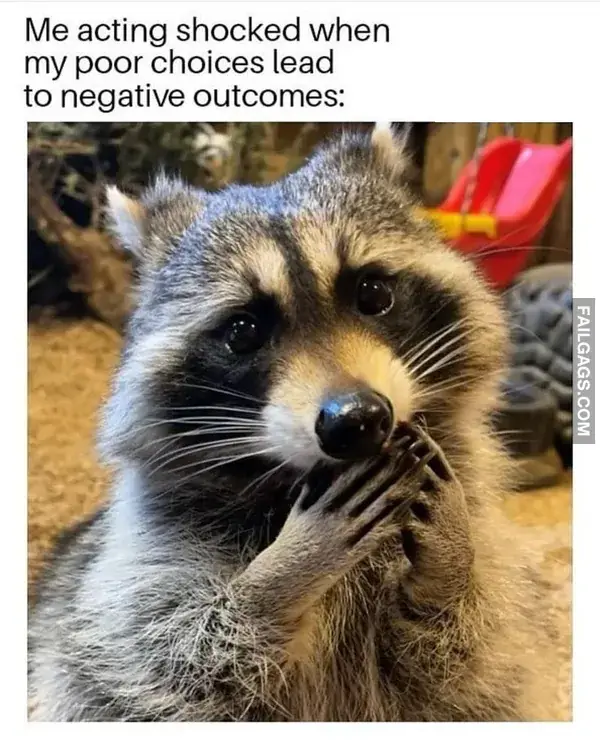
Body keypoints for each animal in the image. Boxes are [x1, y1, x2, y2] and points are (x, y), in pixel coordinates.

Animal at [28, 123, 561, 721]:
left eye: (373, 293)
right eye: (243, 332)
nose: (357, 419)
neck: (289, 478)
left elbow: (477, 659)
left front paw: (451, 566)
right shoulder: (137, 572)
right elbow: (168, 659)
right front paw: (278, 577)